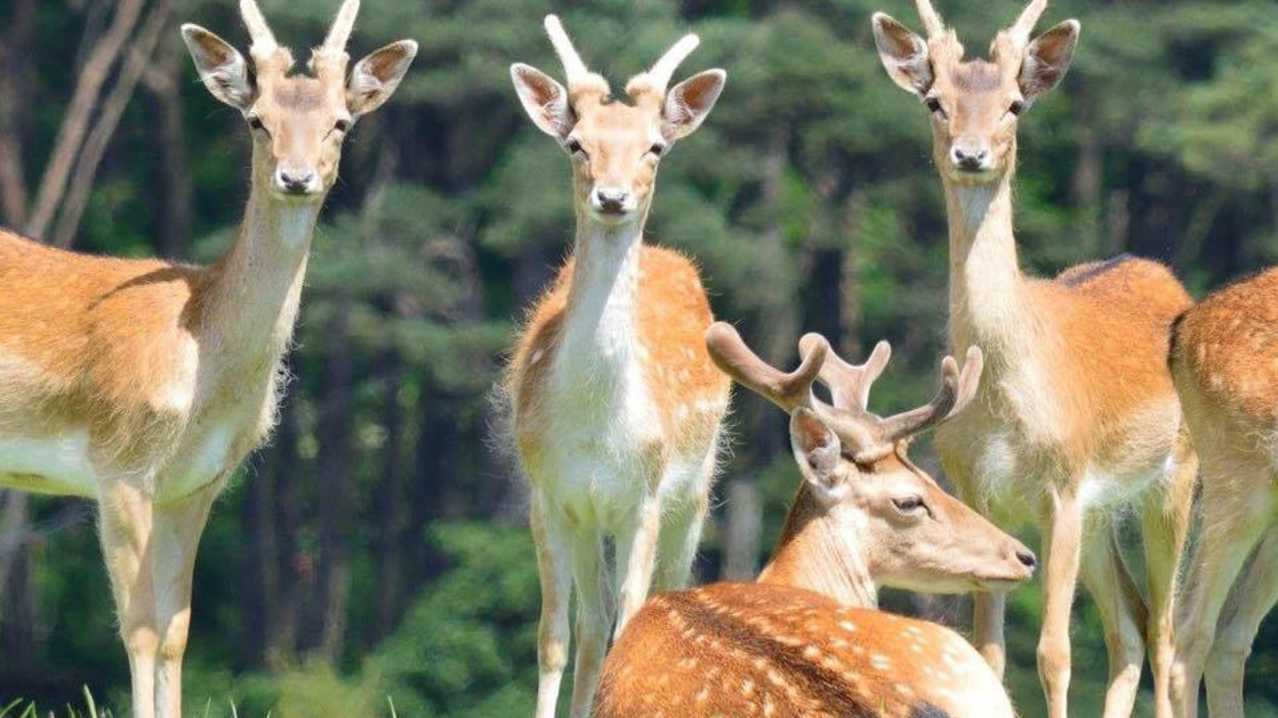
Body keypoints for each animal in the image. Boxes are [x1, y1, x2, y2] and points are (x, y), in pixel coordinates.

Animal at [0, 2, 415, 715]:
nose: (296, 177)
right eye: (257, 119)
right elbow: (138, 627)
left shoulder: (195, 484)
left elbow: (177, 631)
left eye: (340, 121)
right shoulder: (119, 464)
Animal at [503, 15, 730, 718]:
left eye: (655, 146)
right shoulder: (551, 495)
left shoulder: (644, 497)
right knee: (592, 621)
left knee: (662, 598)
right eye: (577, 144)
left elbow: (635, 621)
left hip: (696, 491)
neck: (598, 430)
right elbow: (556, 636)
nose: (612, 196)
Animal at [870, 2, 1198, 717]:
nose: (970, 153)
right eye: (935, 101)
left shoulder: (1063, 486)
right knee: (1129, 627)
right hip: (1104, 512)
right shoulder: (979, 492)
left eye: (1015, 104)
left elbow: (1053, 652)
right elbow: (990, 654)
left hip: (1175, 478)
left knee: (1165, 634)